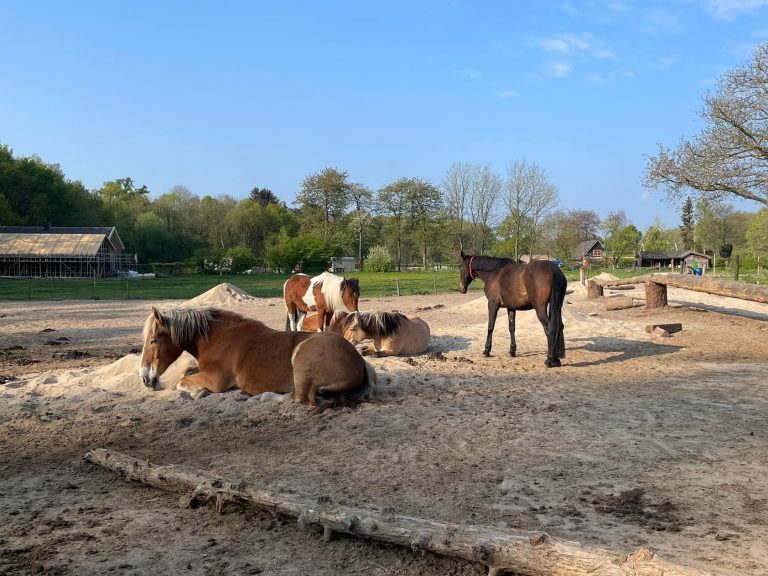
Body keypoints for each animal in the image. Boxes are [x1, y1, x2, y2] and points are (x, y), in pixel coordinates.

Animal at [139, 306, 376, 406]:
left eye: (153, 340)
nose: (144, 377)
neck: (217, 337)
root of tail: (359, 362)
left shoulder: (215, 380)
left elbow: (181, 381)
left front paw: (198, 393)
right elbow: (186, 373)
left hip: (301, 359)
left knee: (301, 399)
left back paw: (261, 396)